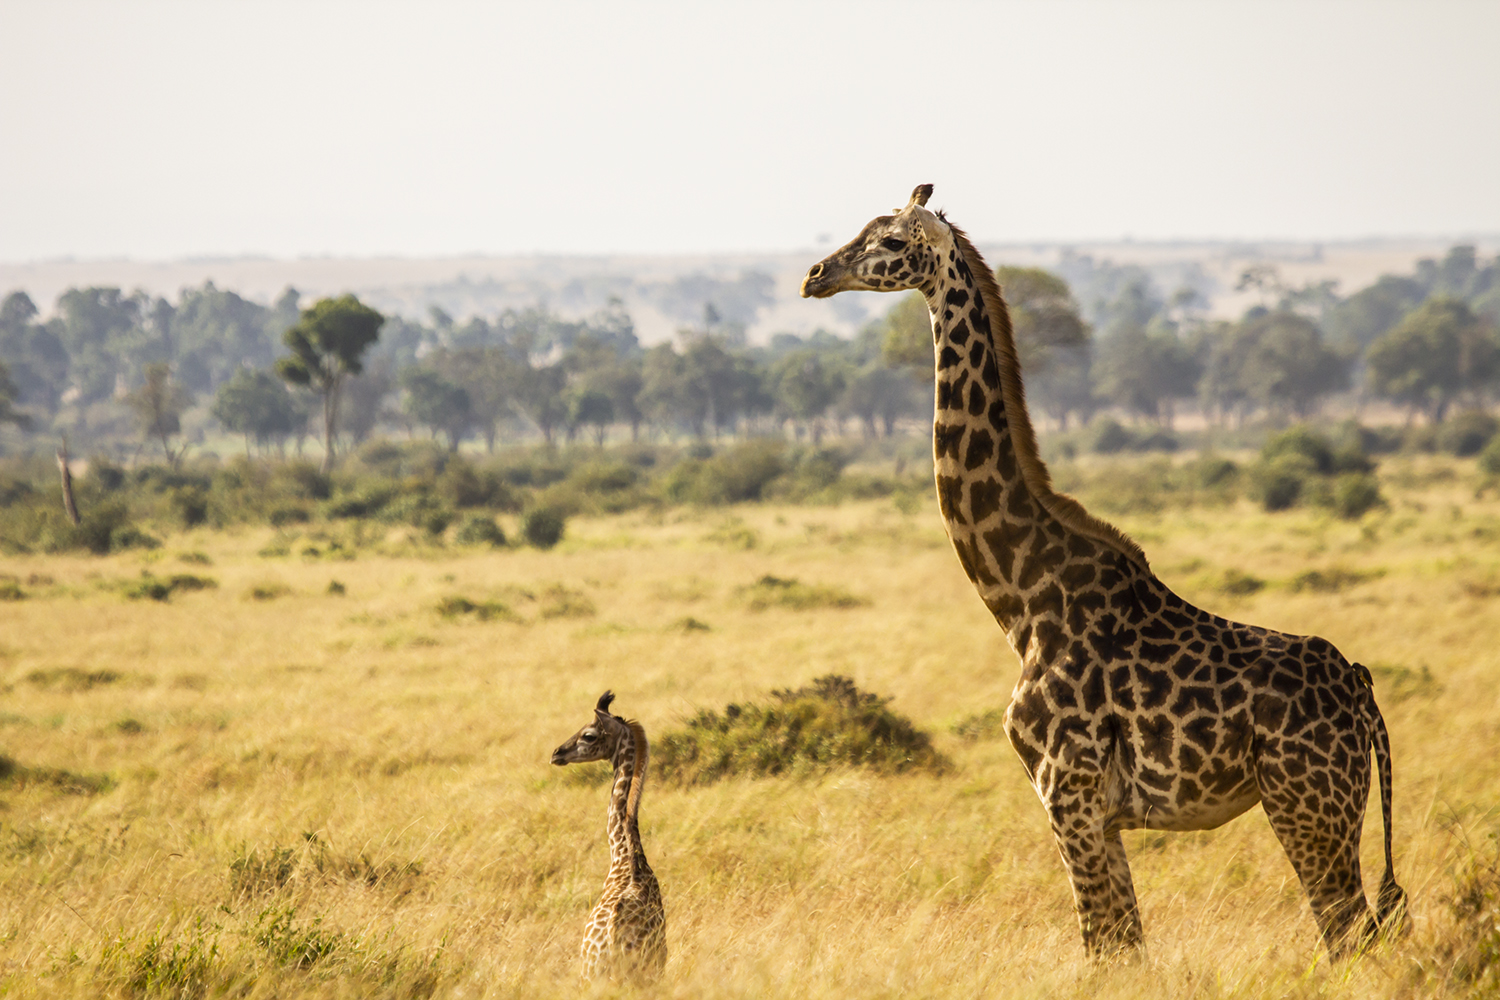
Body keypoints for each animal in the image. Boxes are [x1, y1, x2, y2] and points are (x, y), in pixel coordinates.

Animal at [804, 183, 1398, 959]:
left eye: (893, 242)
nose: (816, 274)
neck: (1020, 602)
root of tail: (1364, 695)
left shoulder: (1069, 794)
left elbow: (1103, 947)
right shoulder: (1097, 813)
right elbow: (1126, 947)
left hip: (1308, 805)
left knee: (1351, 936)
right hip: (1325, 808)